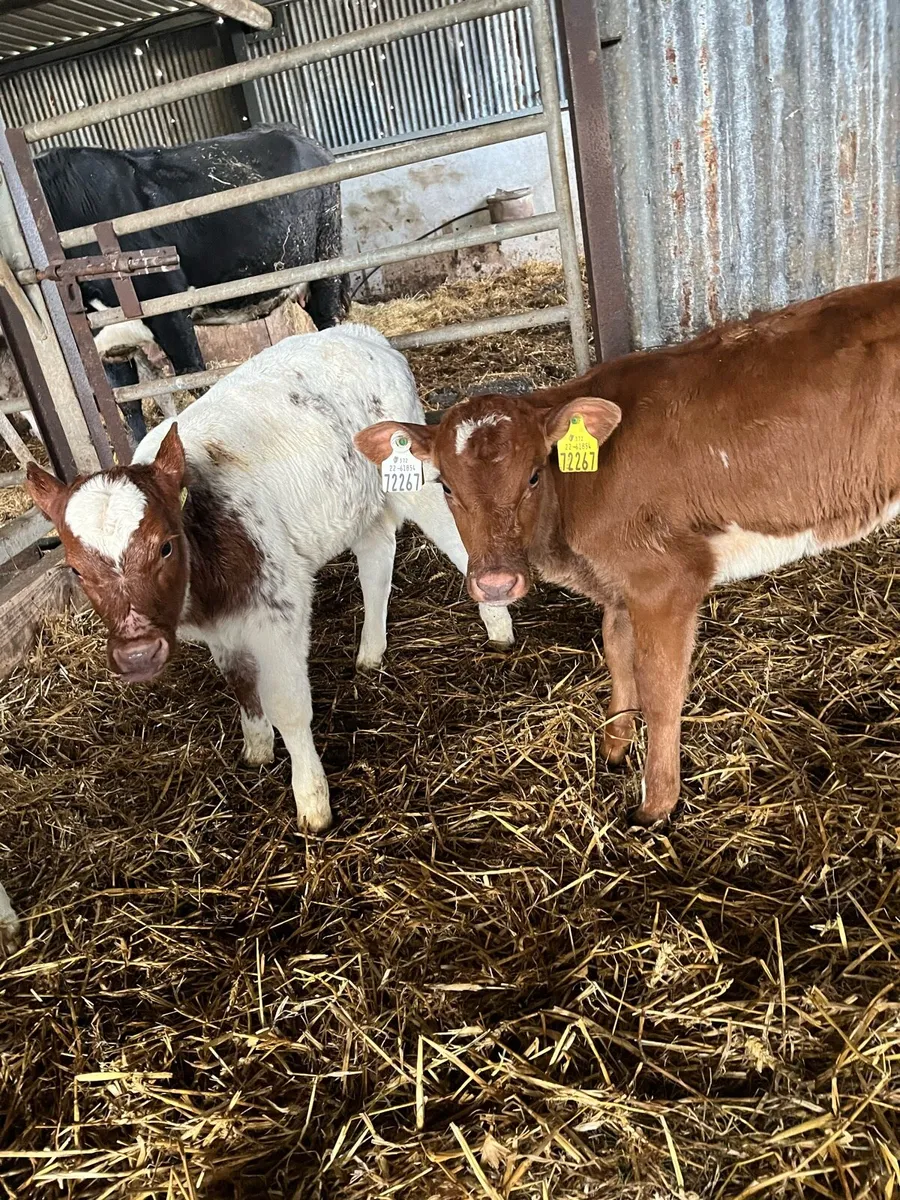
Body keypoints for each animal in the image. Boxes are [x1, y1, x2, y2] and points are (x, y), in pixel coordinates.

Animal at [25, 325, 514, 832]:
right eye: (76, 569)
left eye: (165, 545)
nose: (137, 652)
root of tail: (361, 333)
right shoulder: (221, 631)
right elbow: (241, 684)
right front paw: (256, 750)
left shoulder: (280, 608)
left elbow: (287, 706)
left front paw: (312, 802)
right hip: (354, 504)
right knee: (376, 559)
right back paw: (370, 653)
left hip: (412, 479)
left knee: (454, 539)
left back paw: (498, 626)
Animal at [36, 123, 349, 442]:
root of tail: (296, 133)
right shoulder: (107, 345)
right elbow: (128, 403)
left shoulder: (169, 311)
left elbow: (195, 379)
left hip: (326, 255)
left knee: (329, 319)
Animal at [355, 278, 900, 826]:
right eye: (445, 485)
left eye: (534, 474)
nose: (496, 583)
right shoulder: (617, 584)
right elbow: (617, 653)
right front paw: (614, 745)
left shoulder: (666, 579)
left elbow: (660, 688)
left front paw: (655, 804)